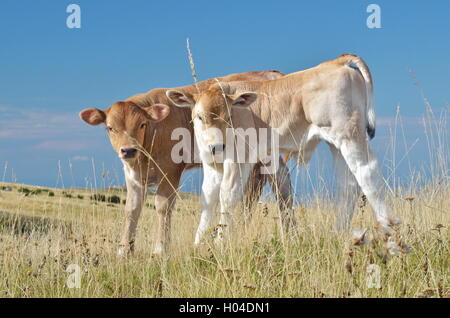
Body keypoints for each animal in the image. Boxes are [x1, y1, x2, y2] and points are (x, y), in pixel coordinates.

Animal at [80, 70, 292, 256]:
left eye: (142, 124)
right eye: (110, 128)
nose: (128, 150)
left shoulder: (171, 170)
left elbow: (163, 206)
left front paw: (160, 249)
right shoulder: (132, 175)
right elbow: (131, 209)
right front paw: (124, 250)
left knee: (279, 183)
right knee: (255, 192)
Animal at [168, 54, 400, 242]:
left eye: (228, 117)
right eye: (199, 116)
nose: (216, 146)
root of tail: (335, 62)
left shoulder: (238, 160)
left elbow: (227, 196)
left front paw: (221, 243)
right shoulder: (211, 165)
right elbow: (208, 200)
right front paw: (198, 244)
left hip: (349, 135)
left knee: (367, 173)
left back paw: (388, 231)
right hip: (336, 143)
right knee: (349, 183)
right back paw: (338, 233)